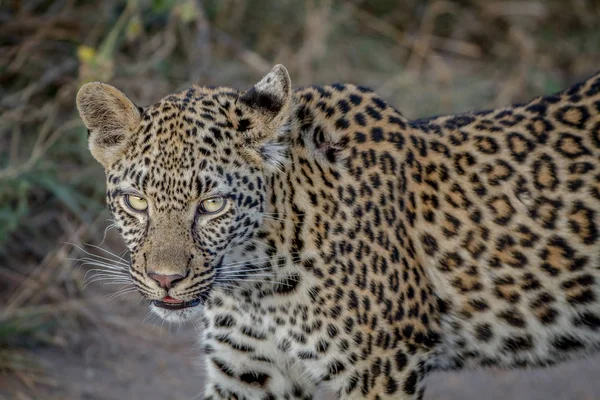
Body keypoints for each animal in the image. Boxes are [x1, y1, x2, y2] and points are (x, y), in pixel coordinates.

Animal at [77, 64, 600, 398]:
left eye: (212, 205)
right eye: (137, 201)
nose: (165, 280)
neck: (255, 281)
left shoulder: (384, 368)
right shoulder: (248, 370)